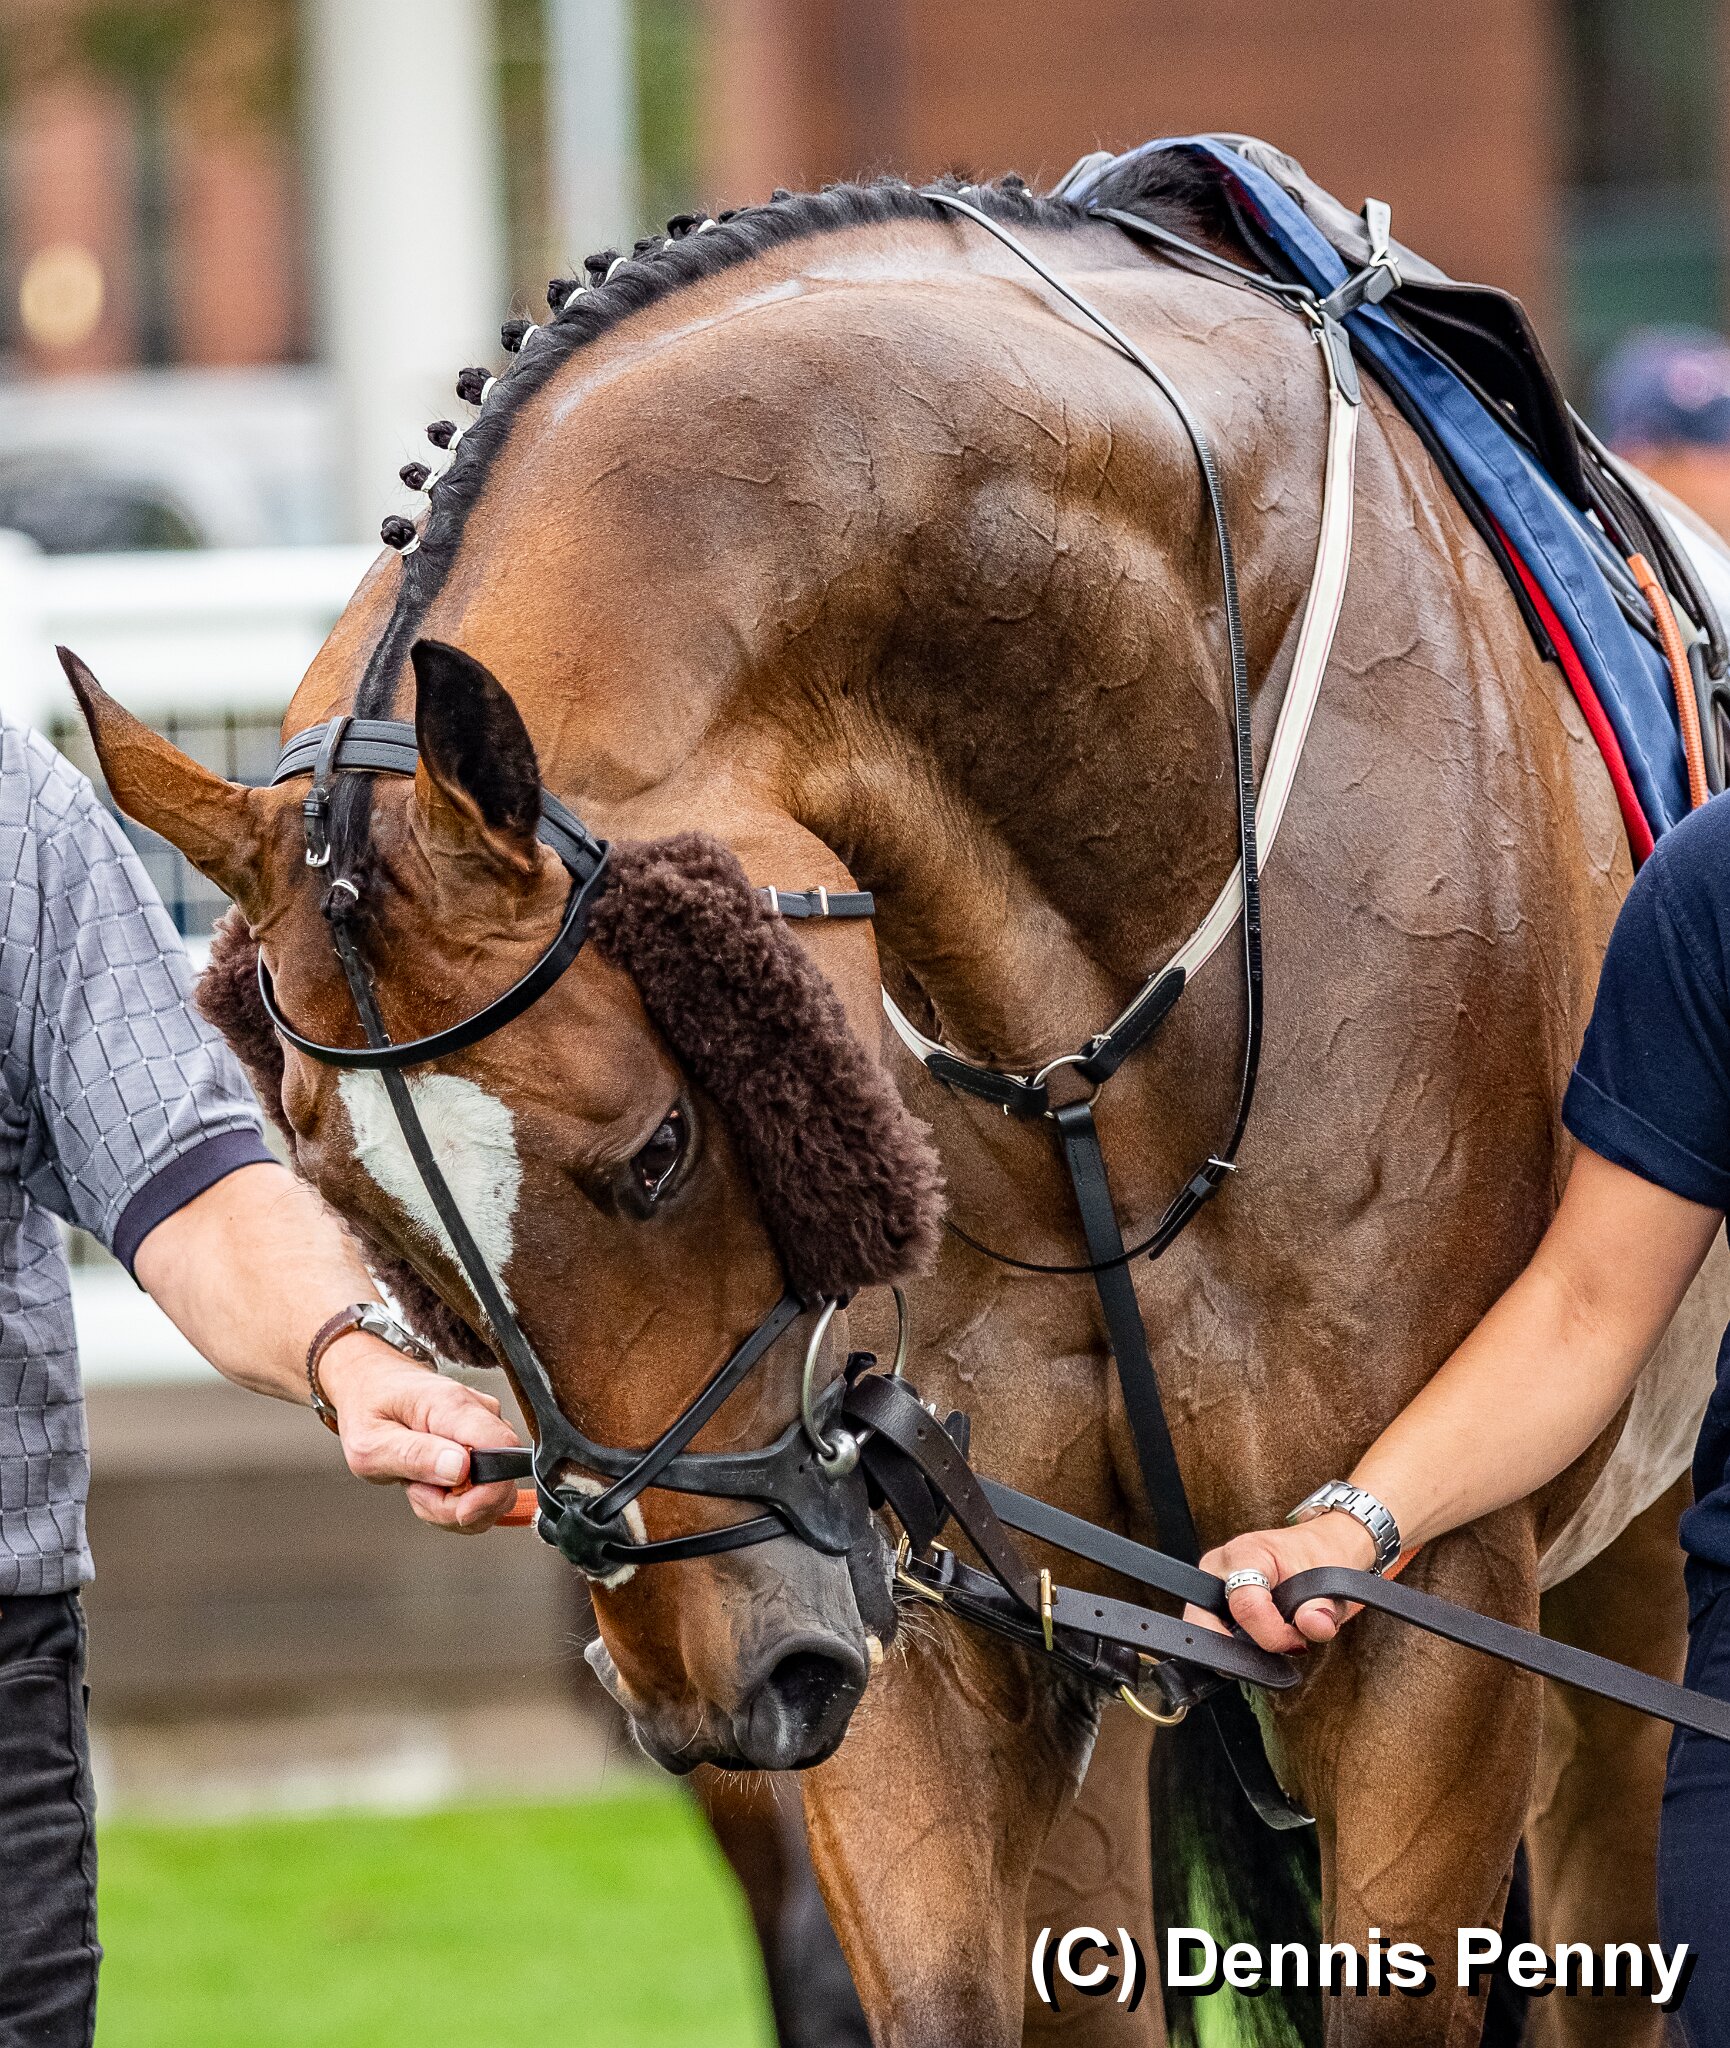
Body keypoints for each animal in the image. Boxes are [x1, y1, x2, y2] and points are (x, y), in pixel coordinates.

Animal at [62, 157, 1724, 2047]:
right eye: (369, 1227)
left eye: (661, 1147)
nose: (721, 1684)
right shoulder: (940, 1593)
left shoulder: (1415, 1605)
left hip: (1623, 1607)